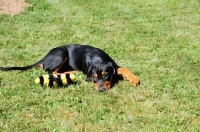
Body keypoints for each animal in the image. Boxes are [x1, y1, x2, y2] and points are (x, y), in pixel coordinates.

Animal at [0, 43, 140, 91]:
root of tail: (44, 58)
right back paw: (70, 72)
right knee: (50, 71)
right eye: (94, 78)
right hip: (62, 52)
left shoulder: (114, 65)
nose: (101, 90)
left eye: (106, 75)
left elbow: (124, 69)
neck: (98, 58)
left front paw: (134, 79)